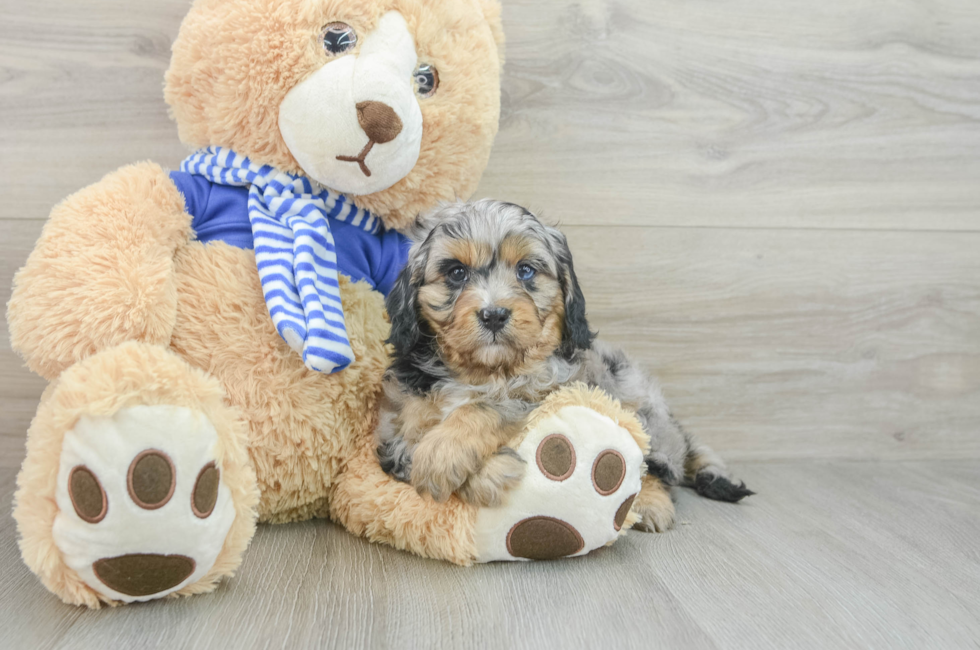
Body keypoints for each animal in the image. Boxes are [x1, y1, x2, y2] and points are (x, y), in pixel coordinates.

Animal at [374, 200, 752, 528]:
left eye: (526, 271)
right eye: (456, 272)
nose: (494, 314)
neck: (486, 372)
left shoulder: (552, 391)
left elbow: (490, 406)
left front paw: (443, 452)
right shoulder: (393, 426)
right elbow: (408, 447)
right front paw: (487, 472)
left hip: (637, 405)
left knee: (654, 466)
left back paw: (651, 503)